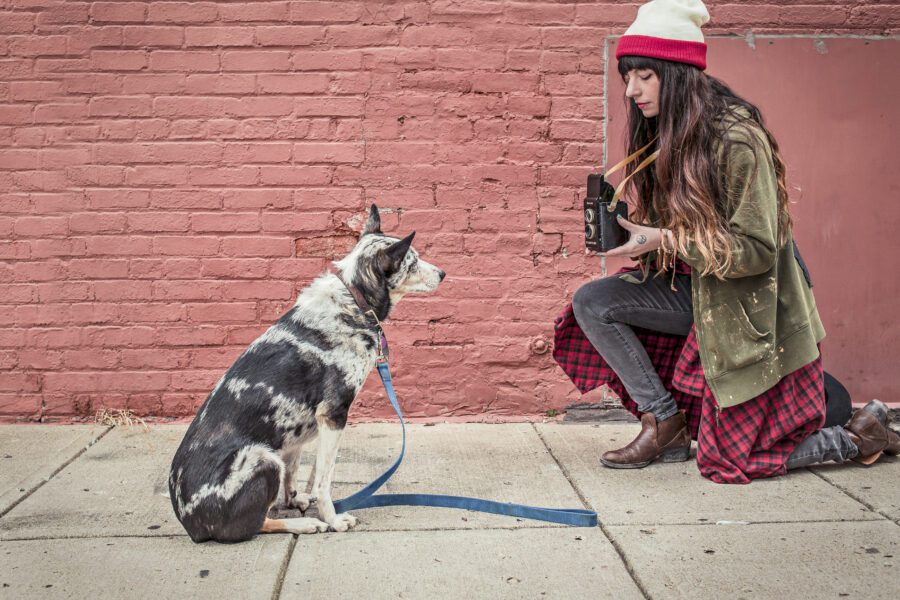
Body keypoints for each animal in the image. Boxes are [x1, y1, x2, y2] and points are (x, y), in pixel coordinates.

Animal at [167, 206, 444, 544]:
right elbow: (323, 481)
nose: (443, 273)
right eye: (413, 261)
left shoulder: (296, 434)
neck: (355, 300)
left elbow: (297, 471)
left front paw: (295, 499)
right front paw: (332, 518)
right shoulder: (333, 416)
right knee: (254, 524)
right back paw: (305, 524)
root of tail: (191, 525)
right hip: (263, 459)